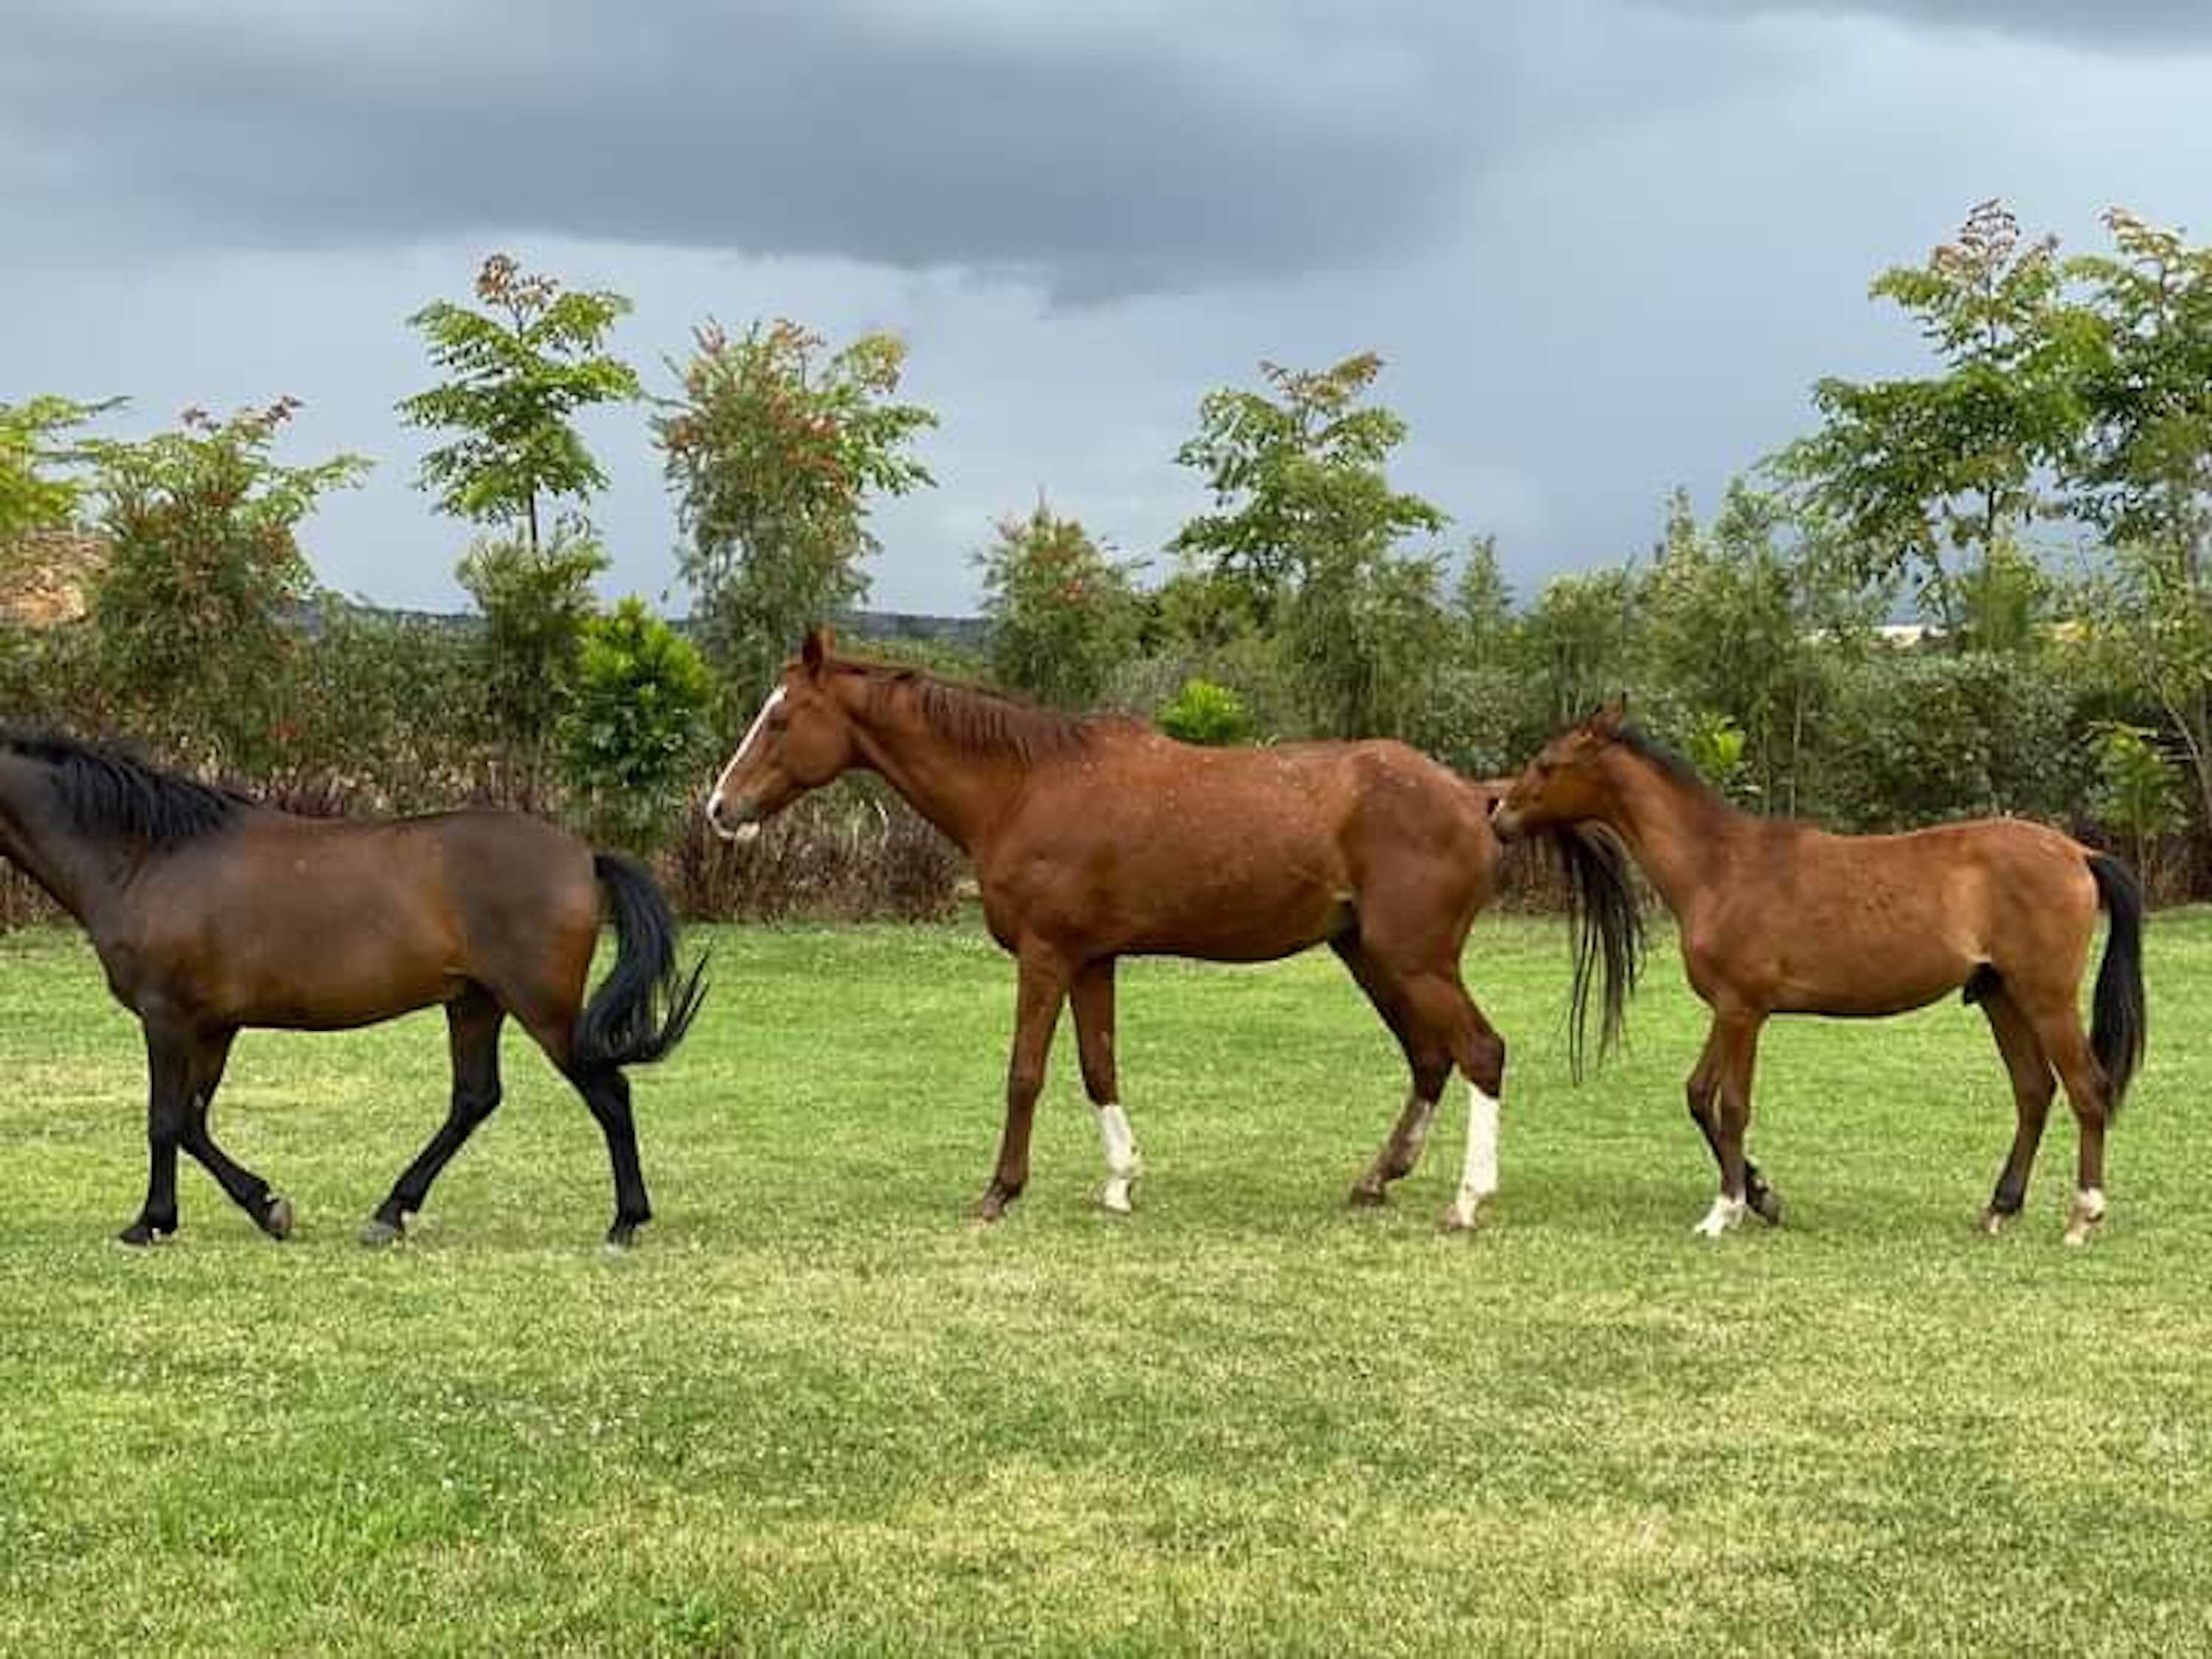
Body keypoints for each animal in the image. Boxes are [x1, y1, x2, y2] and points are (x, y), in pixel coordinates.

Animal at [0, 732, 707, 1247]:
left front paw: (150, 1222)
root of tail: (585, 857)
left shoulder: (167, 1018)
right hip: (475, 1004)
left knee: (608, 1094)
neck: (149, 858)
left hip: (543, 1008)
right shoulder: (213, 1026)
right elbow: (194, 1123)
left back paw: (624, 1222)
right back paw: (391, 1212)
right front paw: (266, 1207)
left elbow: (165, 1121)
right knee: (475, 1099)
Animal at [704, 627, 1640, 1228]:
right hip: (1373, 958)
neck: (1024, 786)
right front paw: (1120, 1182)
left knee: (1481, 1053)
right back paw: (1377, 1179)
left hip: (1416, 961)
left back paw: (1468, 1200)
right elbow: (1098, 1068)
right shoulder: (1092, 961)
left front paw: (1000, 1192)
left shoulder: (1045, 958)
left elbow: (1025, 1074)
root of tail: (1477, 796)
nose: (719, 808)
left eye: (780, 719)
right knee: (1431, 1059)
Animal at [1489, 702, 2147, 1245]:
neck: (1720, 868)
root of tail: (2078, 853)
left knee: (2087, 1089)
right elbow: (1699, 1094)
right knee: (2034, 1091)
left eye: (1546, 764)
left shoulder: (1743, 1011)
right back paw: (1998, 1210)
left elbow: (1733, 1105)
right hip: (1999, 997)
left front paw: (1724, 1211)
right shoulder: (1729, 1009)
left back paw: (2082, 1218)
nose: (1499, 816)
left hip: (2047, 999)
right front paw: (1761, 1195)